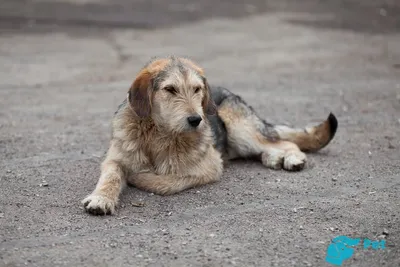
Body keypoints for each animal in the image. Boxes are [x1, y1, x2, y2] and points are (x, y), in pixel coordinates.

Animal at [81, 56, 338, 216]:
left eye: (197, 89)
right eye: (170, 89)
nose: (196, 120)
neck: (159, 134)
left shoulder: (209, 166)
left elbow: (167, 181)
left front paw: (140, 177)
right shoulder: (116, 158)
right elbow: (111, 176)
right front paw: (101, 198)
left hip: (241, 129)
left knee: (282, 141)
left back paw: (292, 158)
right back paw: (273, 158)